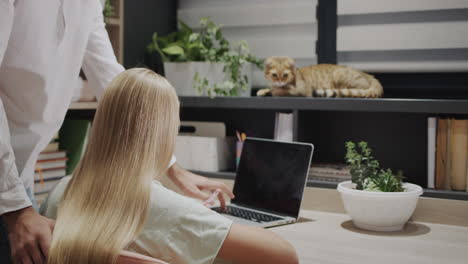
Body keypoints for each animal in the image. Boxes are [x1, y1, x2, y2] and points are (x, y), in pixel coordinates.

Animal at [256, 56, 384, 98]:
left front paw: (277, 90)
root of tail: (369, 75)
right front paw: (263, 91)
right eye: (274, 75)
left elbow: (281, 91)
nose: (279, 82)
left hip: (341, 76)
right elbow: (270, 89)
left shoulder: (303, 90)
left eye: (285, 75)